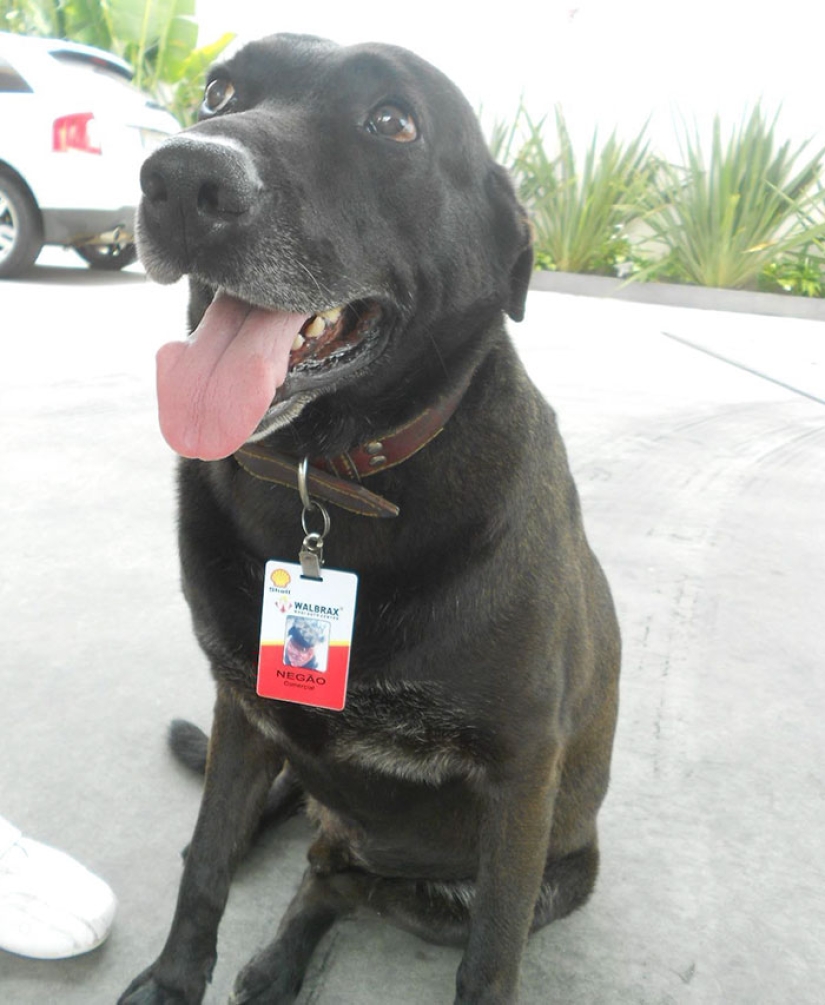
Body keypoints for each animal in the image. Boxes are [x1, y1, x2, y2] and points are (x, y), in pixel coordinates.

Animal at [120, 31, 619, 1005]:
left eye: (393, 122)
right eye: (217, 91)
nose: (179, 177)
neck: (324, 477)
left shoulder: (520, 773)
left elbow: (490, 961)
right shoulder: (244, 710)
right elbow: (205, 866)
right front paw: (170, 981)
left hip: (534, 877)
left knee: (339, 881)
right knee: (303, 862)